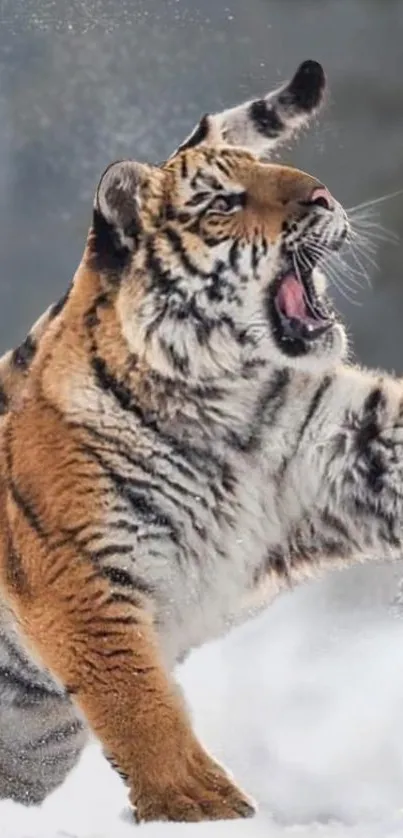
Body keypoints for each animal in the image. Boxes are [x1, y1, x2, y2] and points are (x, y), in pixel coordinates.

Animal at [0, 57, 400, 828]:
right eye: (225, 201)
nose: (324, 196)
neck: (225, 403)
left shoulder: (347, 449)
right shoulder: (81, 577)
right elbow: (141, 708)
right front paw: (199, 805)